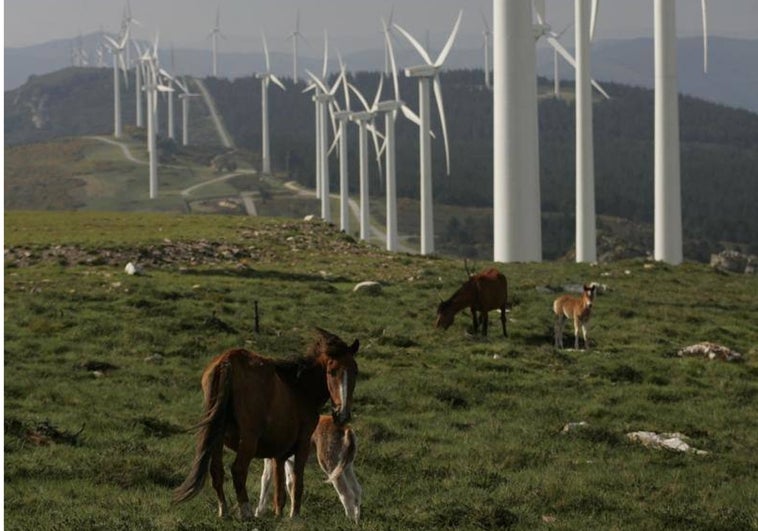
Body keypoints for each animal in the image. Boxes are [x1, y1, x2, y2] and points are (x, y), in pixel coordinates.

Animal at [174, 328, 360, 520]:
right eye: (331, 371)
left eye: (355, 372)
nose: (343, 414)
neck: (300, 389)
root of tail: (227, 360)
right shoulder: (302, 444)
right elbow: (297, 483)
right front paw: (294, 517)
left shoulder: (278, 455)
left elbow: (279, 492)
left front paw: (279, 516)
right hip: (249, 439)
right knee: (238, 470)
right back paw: (246, 512)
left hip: (217, 436)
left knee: (217, 470)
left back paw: (224, 511)